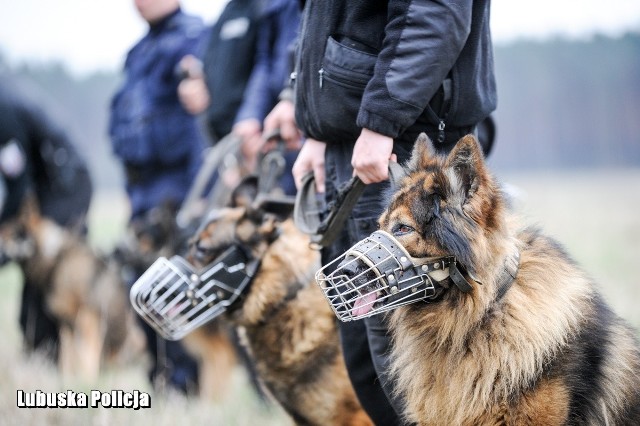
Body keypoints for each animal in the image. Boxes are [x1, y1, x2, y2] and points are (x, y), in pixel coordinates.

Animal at [0, 196, 142, 380]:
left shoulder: (88, 318)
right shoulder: (66, 323)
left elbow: (87, 357)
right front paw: (68, 381)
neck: (54, 260)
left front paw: (87, 382)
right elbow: (67, 358)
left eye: (5, 233)